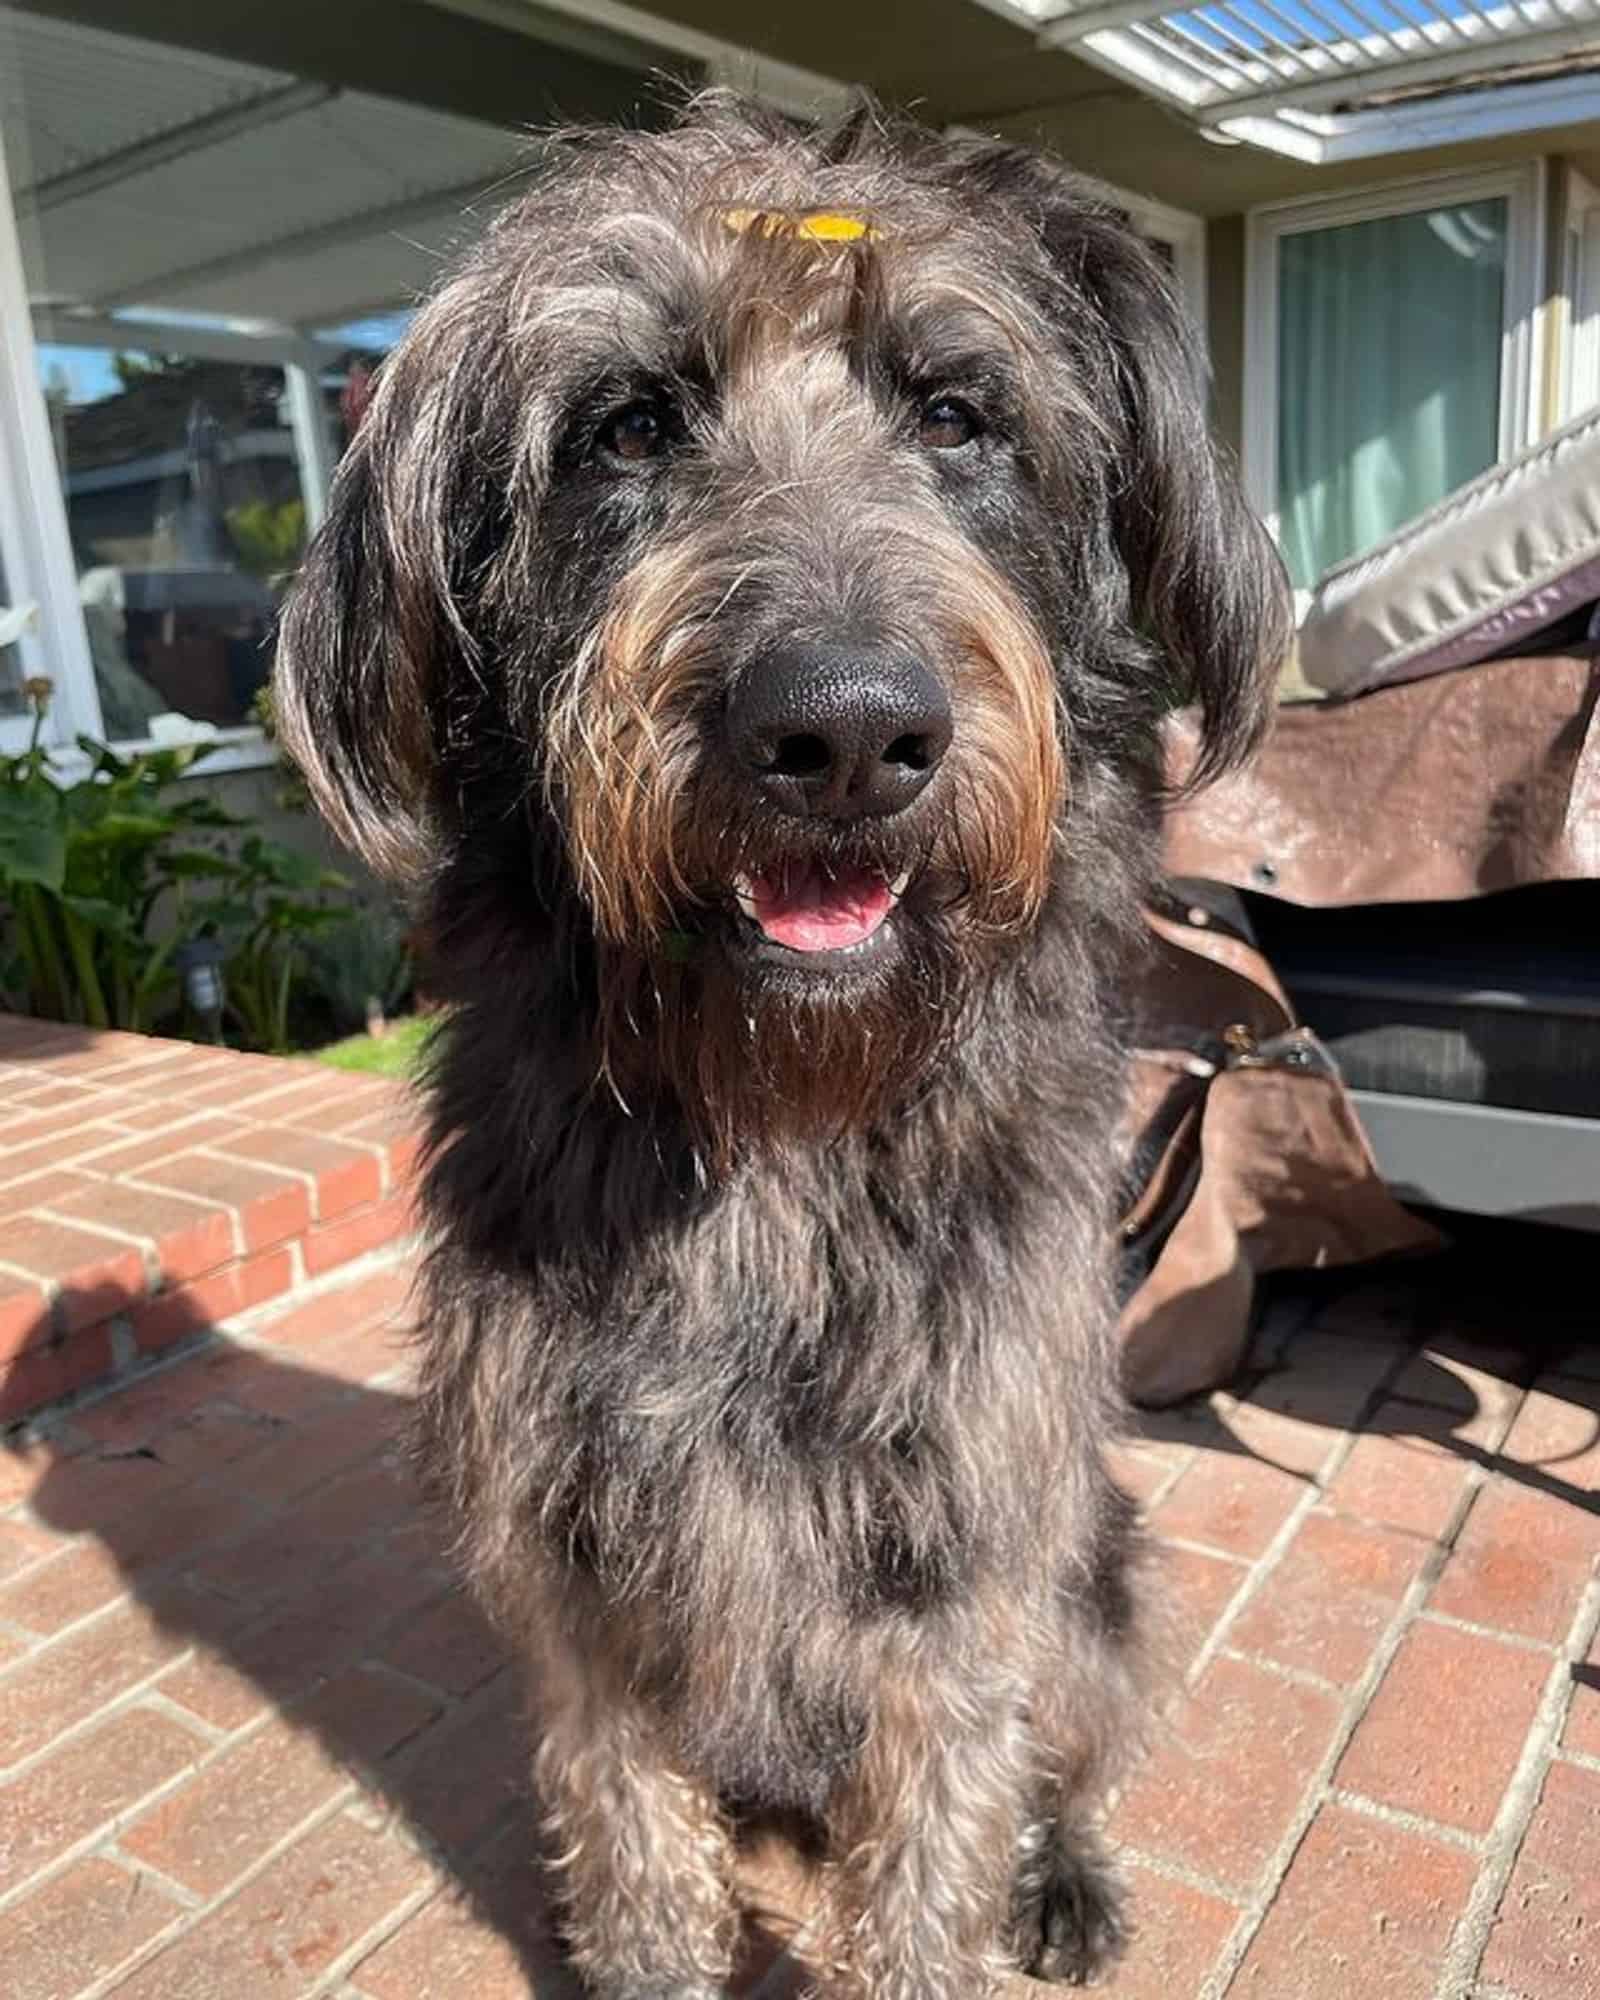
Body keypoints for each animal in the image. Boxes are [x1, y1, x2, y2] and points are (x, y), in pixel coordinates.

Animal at [276, 97, 1296, 2000]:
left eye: (957, 413)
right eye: (627, 424)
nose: (843, 733)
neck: (775, 1126)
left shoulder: (965, 1556)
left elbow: (942, 1833)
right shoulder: (575, 1555)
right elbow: (629, 1826)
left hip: (1099, 1570)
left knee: (1063, 1752)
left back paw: (1062, 1876)